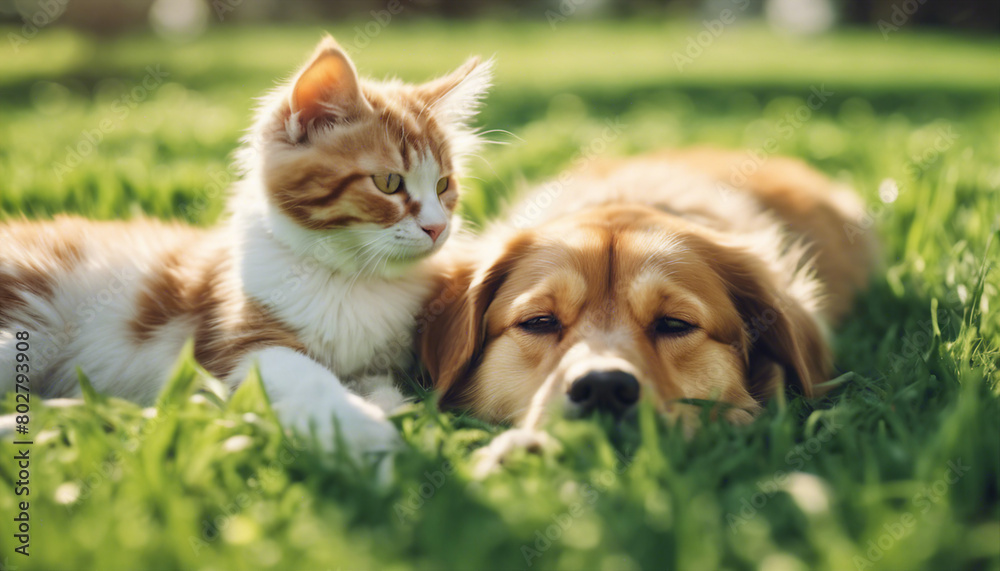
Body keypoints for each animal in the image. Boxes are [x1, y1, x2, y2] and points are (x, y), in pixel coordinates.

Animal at [0, 35, 492, 462]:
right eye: (389, 182)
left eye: (444, 186)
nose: (438, 227)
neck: (352, 278)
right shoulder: (242, 344)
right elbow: (308, 378)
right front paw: (361, 433)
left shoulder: (383, 364)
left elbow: (386, 389)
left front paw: (385, 416)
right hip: (28, 325)